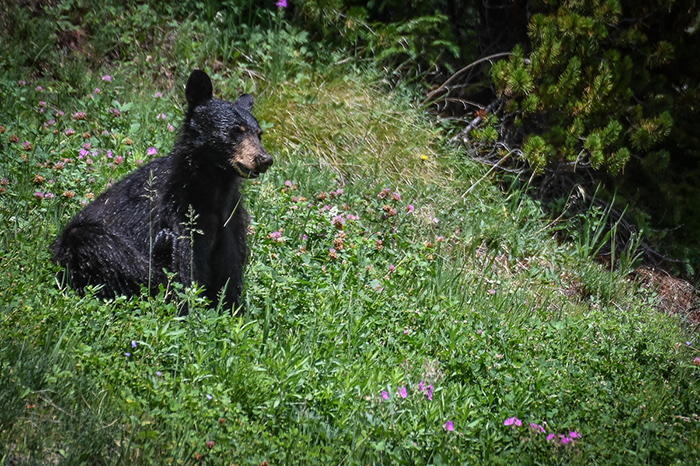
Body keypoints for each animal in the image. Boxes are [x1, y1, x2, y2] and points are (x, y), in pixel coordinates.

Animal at [49, 70, 272, 314]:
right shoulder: (177, 215)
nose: (264, 159)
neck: (213, 191)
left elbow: (230, 277)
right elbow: (185, 277)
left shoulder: (229, 222)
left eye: (259, 133)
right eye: (235, 131)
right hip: (78, 243)